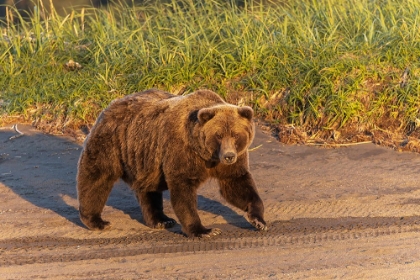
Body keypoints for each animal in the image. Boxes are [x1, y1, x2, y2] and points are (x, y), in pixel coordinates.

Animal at [77, 89, 268, 236]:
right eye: (219, 135)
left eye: (235, 134)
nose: (229, 156)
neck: (206, 154)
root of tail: (110, 105)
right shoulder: (181, 151)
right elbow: (183, 190)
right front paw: (204, 230)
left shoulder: (232, 161)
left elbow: (237, 184)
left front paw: (259, 220)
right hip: (112, 143)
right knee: (97, 178)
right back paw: (96, 220)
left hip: (145, 157)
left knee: (148, 188)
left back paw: (161, 220)